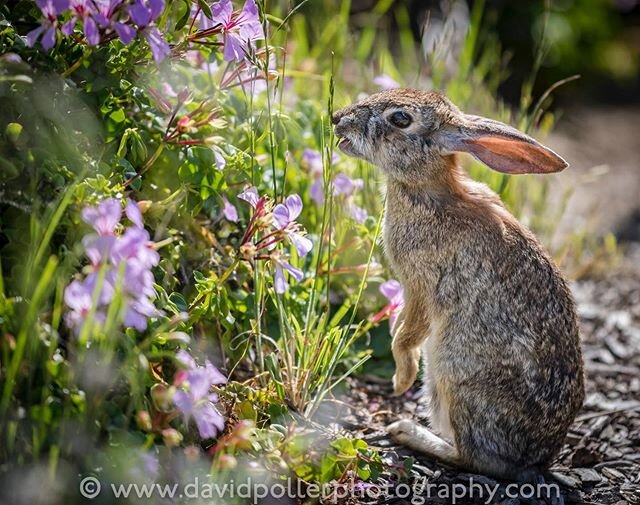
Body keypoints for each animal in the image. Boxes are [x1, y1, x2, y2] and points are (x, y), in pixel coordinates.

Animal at [332, 87, 588, 480]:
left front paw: (401, 380)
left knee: (470, 458)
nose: (338, 118)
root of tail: (536, 459)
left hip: (452, 379)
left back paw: (408, 431)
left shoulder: (422, 286)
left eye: (400, 119)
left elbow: (406, 335)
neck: (428, 193)